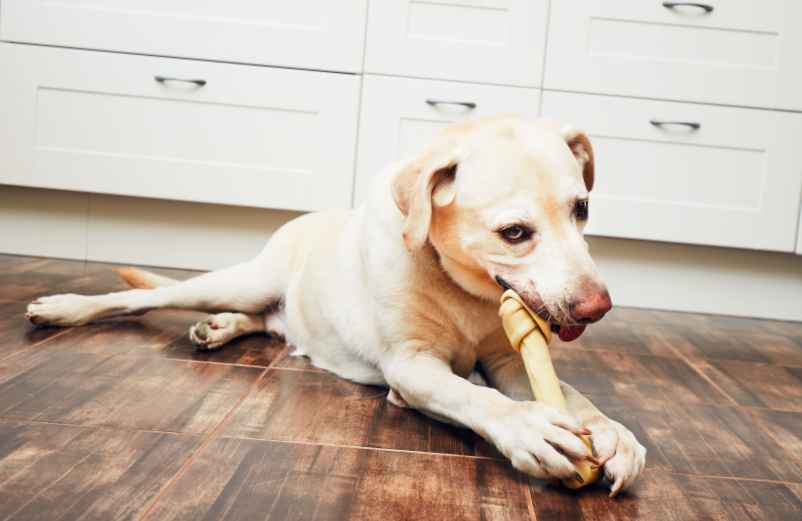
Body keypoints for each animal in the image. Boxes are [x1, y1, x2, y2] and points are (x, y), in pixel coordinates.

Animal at [26, 117, 644, 496]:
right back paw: (62, 307)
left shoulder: (512, 359)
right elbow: (473, 395)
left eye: (582, 209)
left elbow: (572, 395)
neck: (464, 291)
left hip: (267, 306)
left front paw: (611, 431)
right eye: (514, 232)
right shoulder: (410, 367)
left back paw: (220, 329)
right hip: (239, 281)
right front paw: (530, 427)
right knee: (142, 296)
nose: (598, 307)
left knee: (263, 322)